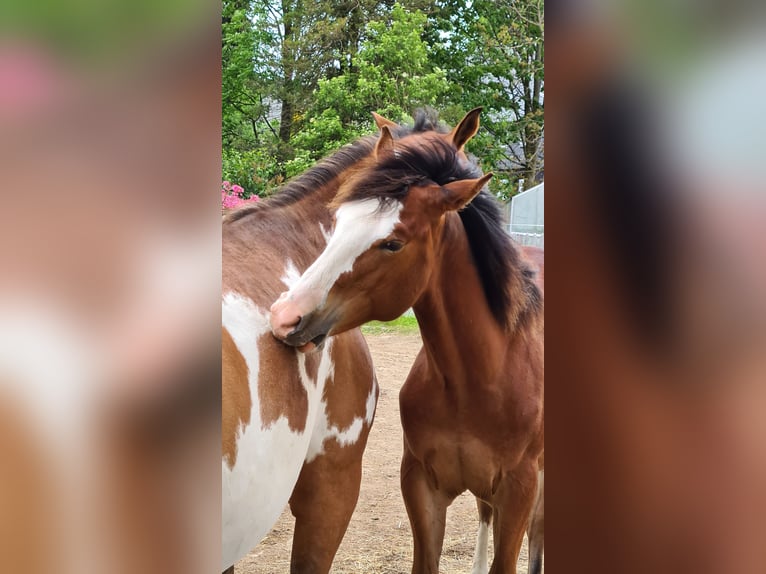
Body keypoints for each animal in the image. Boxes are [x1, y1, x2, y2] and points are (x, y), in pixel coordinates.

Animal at [270, 109, 544, 574]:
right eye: (337, 224)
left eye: (393, 243)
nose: (285, 317)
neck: (476, 381)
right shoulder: (421, 484)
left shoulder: (520, 491)